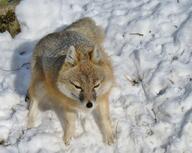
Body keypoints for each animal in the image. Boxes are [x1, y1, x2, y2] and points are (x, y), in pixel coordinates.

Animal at [27, 17, 115, 145]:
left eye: (96, 85)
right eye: (78, 86)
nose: (89, 105)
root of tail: (62, 32)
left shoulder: (102, 98)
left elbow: (105, 119)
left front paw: (109, 136)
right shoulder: (67, 105)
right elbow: (70, 124)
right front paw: (68, 139)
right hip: (40, 87)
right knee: (33, 101)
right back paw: (30, 124)